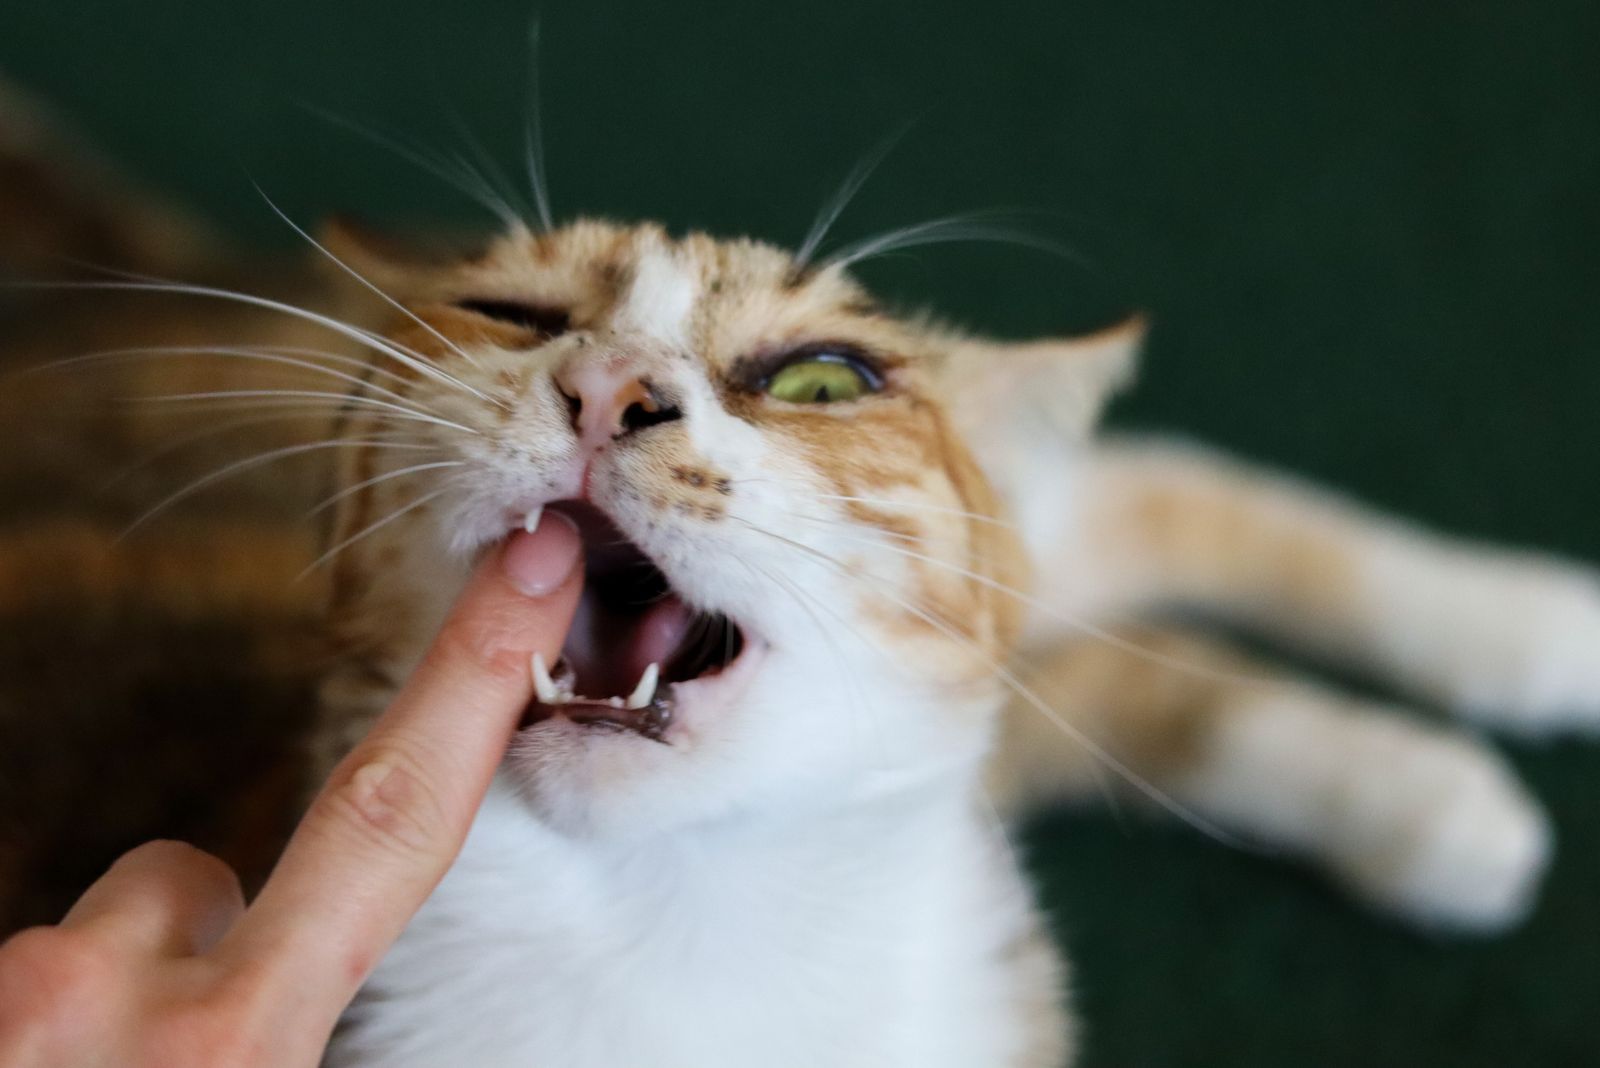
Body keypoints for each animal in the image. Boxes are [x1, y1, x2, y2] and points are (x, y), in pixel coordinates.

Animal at [3, 79, 1600, 1061]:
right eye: (510, 316)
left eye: (824, 379)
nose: (608, 388)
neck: (679, 928)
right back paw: (1434, 794)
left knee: (1152, 495)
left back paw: (1527, 633)